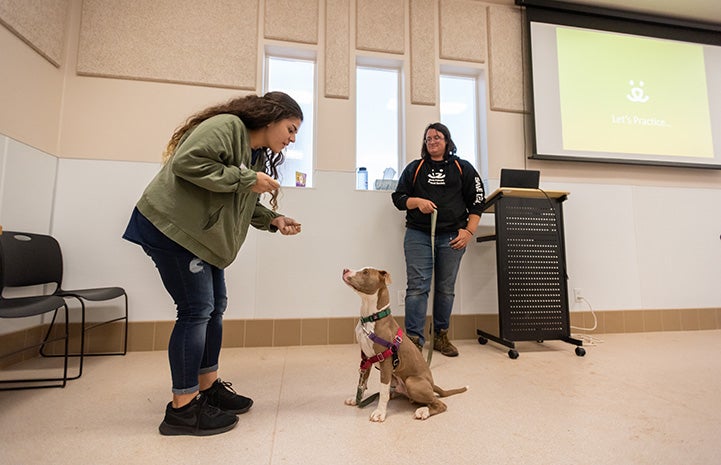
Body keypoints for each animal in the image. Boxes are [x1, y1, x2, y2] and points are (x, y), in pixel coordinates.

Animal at [342, 264, 466, 420]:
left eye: (365, 272)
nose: (344, 270)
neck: (371, 317)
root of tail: (432, 385)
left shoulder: (386, 362)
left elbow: (383, 392)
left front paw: (380, 413)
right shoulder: (366, 359)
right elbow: (362, 382)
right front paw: (356, 398)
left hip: (412, 382)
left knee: (439, 403)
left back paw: (423, 411)